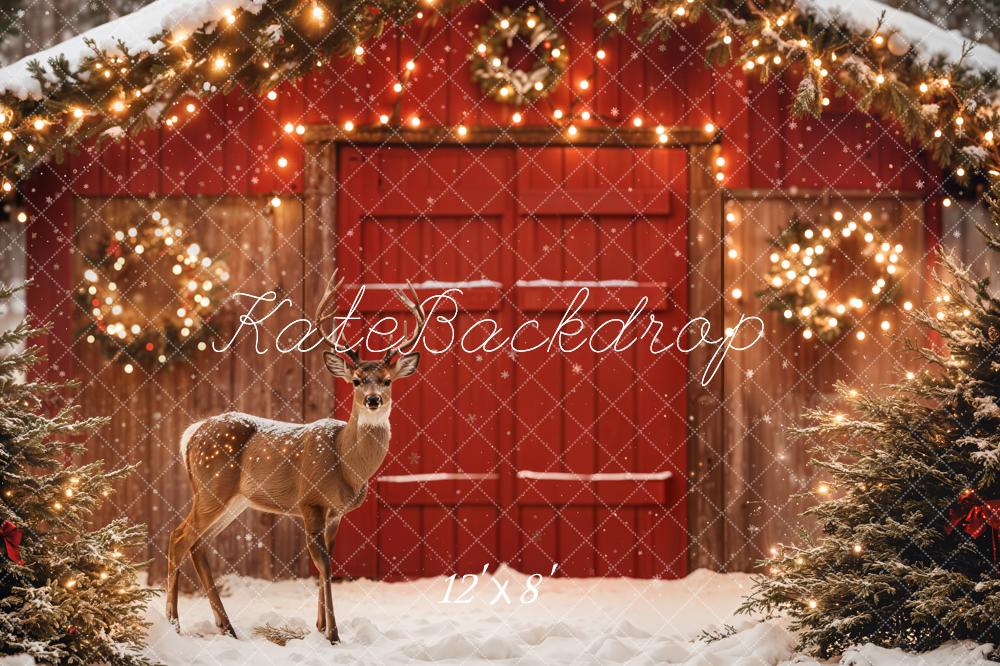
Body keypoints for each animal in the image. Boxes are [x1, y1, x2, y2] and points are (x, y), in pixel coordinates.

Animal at [165, 272, 426, 644]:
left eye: (388, 381)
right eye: (356, 380)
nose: (373, 400)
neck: (346, 462)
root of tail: (191, 433)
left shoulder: (335, 513)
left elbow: (326, 563)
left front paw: (319, 626)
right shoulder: (310, 501)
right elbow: (324, 565)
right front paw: (332, 634)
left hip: (233, 499)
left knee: (198, 544)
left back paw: (226, 627)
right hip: (212, 489)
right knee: (179, 537)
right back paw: (174, 624)